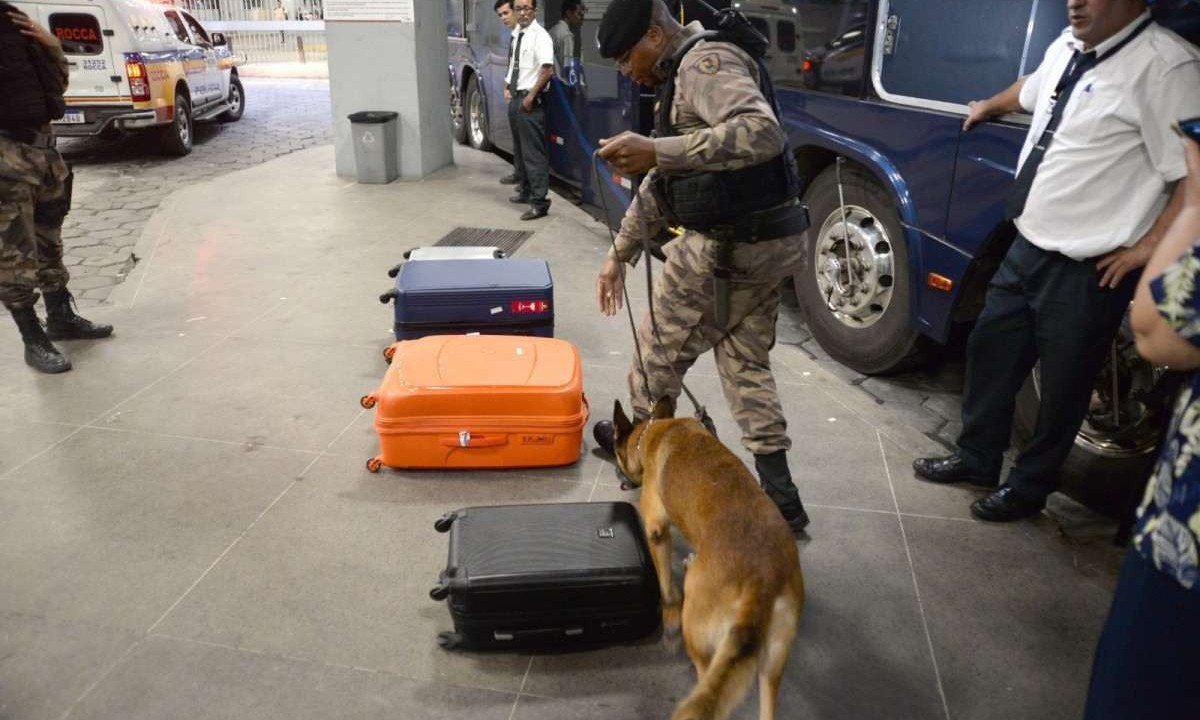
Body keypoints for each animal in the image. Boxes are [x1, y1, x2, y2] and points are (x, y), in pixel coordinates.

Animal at [609, 398, 806, 720]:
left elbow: (667, 587)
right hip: (773, 666)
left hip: (700, 640)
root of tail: (761, 580)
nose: (622, 479)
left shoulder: (656, 530)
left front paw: (669, 614)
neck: (654, 430)